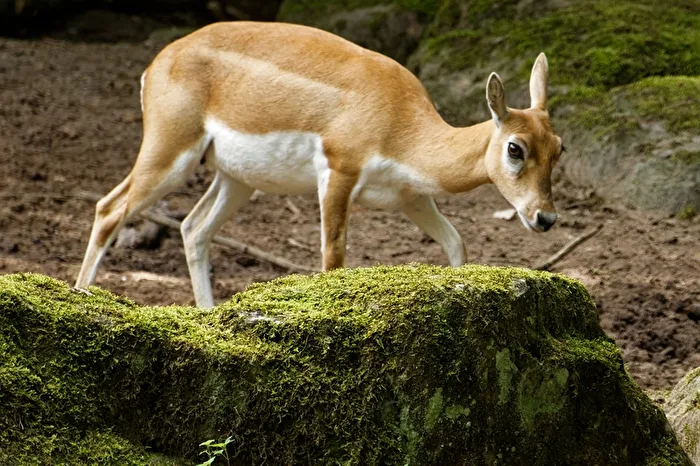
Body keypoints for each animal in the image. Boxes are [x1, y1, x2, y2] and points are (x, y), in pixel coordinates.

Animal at [75, 21, 563, 308]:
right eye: (515, 148)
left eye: (558, 147)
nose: (545, 218)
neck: (401, 121)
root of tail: (159, 61)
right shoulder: (338, 173)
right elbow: (333, 258)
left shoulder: (412, 198)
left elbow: (457, 243)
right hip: (170, 155)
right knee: (109, 208)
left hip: (235, 179)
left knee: (193, 227)